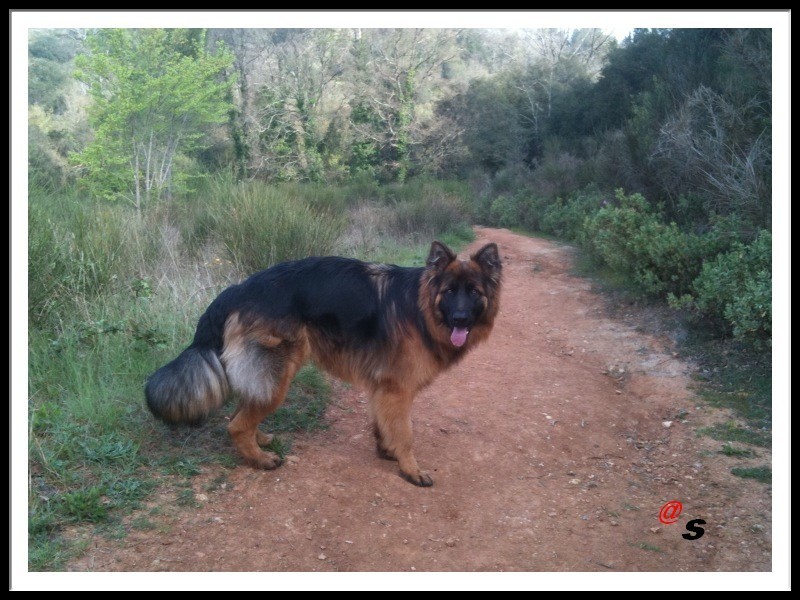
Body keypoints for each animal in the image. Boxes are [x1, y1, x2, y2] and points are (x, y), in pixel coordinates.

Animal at [145, 241, 500, 486]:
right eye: (449, 291)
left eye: (473, 292)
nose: (461, 319)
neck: (421, 308)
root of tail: (235, 290)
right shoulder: (397, 389)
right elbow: (406, 434)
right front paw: (410, 469)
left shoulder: (383, 388)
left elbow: (383, 425)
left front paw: (387, 451)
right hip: (278, 379)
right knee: (235, 424)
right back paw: (261, 460)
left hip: (268, 379)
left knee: (240, 415)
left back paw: (260, 441)